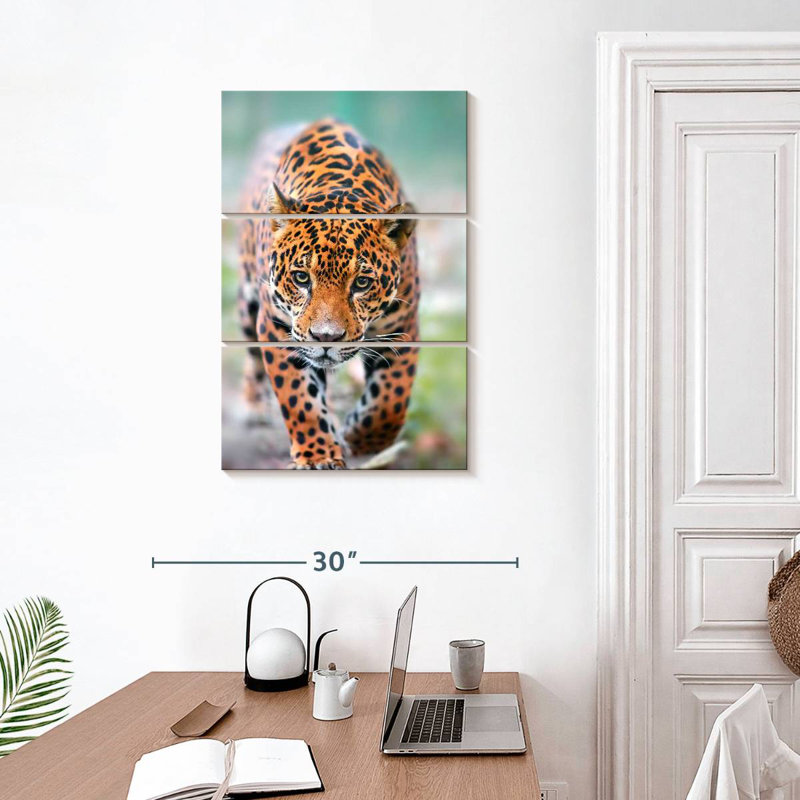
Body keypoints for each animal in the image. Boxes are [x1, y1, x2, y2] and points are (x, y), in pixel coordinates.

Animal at [236, 119, 421, 469]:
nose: (326, 338)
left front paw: (359, 439)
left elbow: (390, 400)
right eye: (301, 278)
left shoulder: (402, 328)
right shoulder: (277, 328)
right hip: (246, 301)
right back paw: (252, 406)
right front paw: (318, 455)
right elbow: (298, 398)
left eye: (361, 283)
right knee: (251, 356)